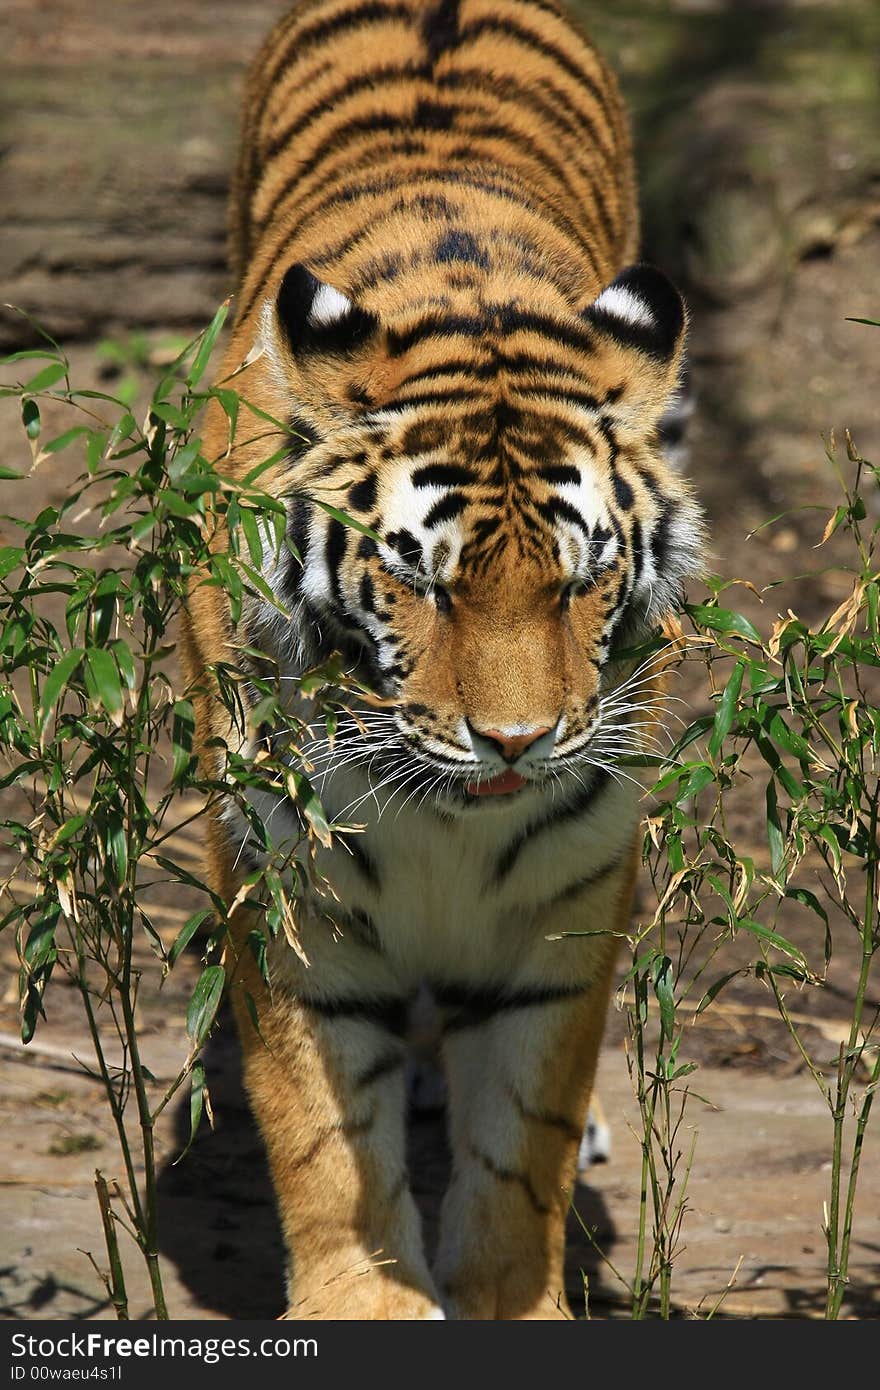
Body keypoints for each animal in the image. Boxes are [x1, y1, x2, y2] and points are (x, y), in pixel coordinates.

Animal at [182, 0, 703, 1317]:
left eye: (578, 581)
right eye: (422, 580)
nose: (513, 742)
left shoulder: (571, 891)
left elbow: (524, 1132)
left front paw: (510, 1298)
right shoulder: (286, 881)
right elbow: (323, 1134)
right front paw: (362, 1299)